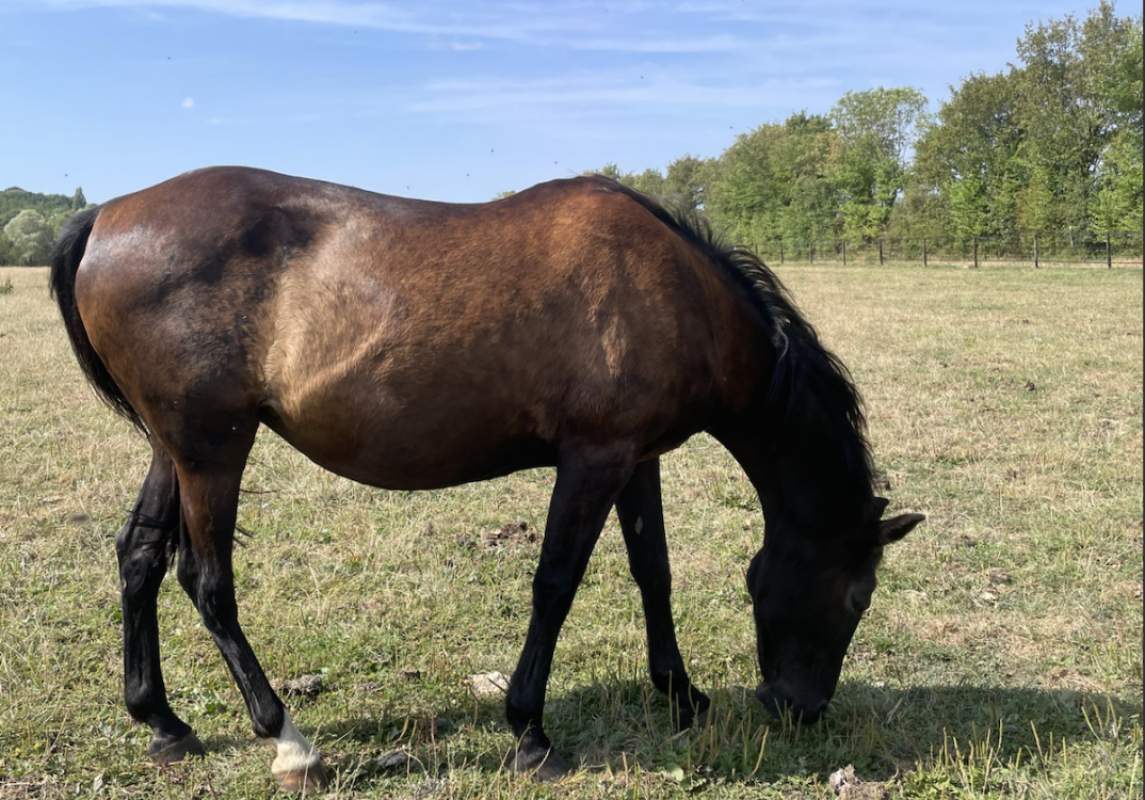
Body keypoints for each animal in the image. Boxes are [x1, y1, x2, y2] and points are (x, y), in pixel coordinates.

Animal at [50, 167, 923, 792]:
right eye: (857, 596)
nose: (798, 709)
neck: (677, 295)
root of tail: (108, 216)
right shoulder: (593, 459)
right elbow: (555, 584)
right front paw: (530, 733)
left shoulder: (636, 458)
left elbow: (653, 573)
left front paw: (680, 695)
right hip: (212, 450)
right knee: (206, 581)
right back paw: (289, 741)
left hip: (177, 448)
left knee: (139, 555)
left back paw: (162, 722)